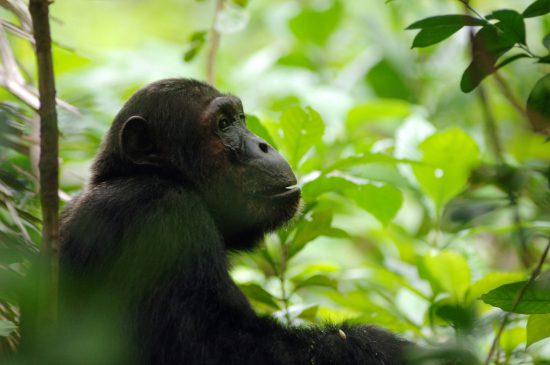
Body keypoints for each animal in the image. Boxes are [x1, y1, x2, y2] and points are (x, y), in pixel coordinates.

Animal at [60, 78, 414, 362]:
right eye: (223, 124)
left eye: (240, 118)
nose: (263, 144)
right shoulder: (166, 219)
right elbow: (219, 348)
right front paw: (381, 345)